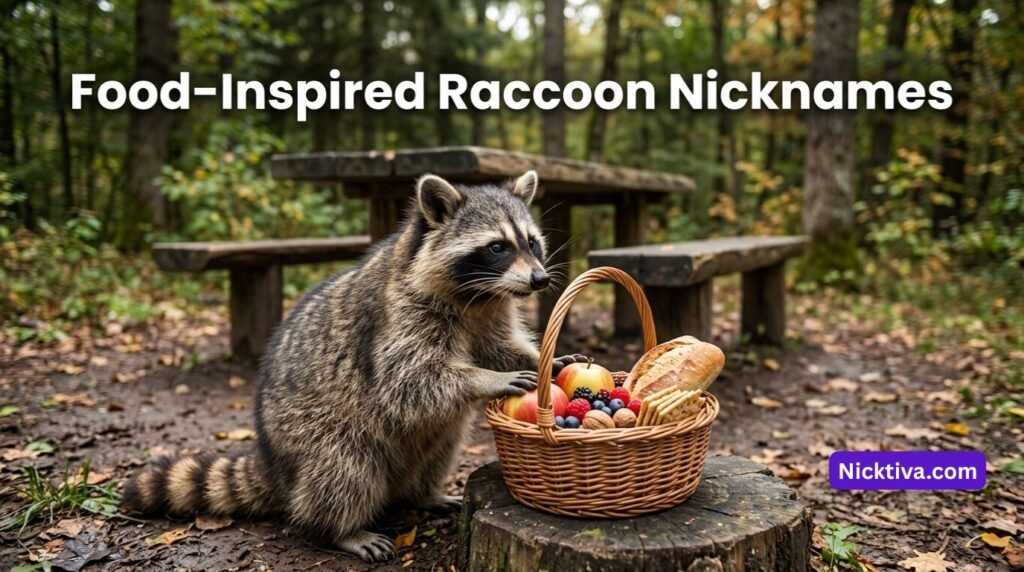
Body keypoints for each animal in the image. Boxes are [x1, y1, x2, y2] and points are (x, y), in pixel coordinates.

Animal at [122, 171, 587, 562]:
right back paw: (340, 529)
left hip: (423, 443)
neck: (478, 295)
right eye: (497, 247)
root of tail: (275, 466)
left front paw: (544, 359)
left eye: (532, 242)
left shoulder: (490, 311)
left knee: (440, 444)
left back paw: (422, 493)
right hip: (313, 432)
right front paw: (490, 379)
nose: (540, 279)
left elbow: (497, 347)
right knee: (345, 466)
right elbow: (408, 380)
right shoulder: (401, 315)